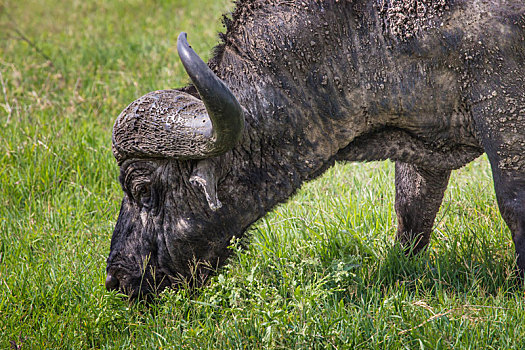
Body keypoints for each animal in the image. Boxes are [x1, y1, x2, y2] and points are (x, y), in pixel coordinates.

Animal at [105, 0, 524, 298]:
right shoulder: (424, 137)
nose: (116, 278)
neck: (365, 26)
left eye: (143, 189)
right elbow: (414, 210)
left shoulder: (503, 108)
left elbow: (513, 204)